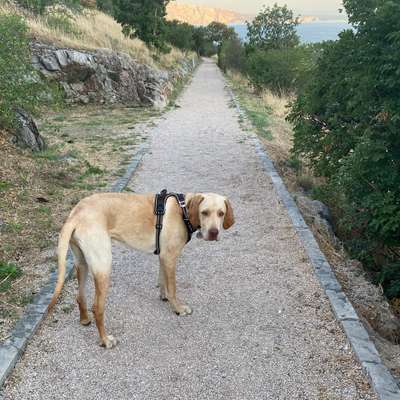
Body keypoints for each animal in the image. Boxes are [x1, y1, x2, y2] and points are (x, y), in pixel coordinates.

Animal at [48, 193, 234, 346]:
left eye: (221, 213)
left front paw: (164, 296)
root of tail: (76, 214)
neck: (184, 211)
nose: (214, 233)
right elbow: (173, 288)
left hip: (82, 263)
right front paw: (178, 308)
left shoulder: (163, 257)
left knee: (80, 296)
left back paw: (85, 319)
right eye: (204, 212)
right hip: (103, 266)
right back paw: (105, 340)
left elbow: (163, 281)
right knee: (97, 308)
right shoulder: (170, 257)